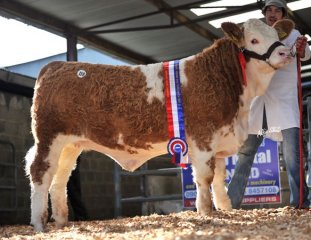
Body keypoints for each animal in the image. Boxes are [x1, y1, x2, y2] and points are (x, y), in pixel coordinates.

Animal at [25, 18, 294, 231]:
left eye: (276, 36)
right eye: (254, 40)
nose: (285, 53)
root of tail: (57, 65)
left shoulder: (219, 140)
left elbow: (219, 179)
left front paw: (226, 209)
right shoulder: (203, 139)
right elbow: (205, 178)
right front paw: (206, 212)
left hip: (71, 145)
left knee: (59, 179)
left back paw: (62, 222)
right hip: (49, 138)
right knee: (40, 172)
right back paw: (39, 223)